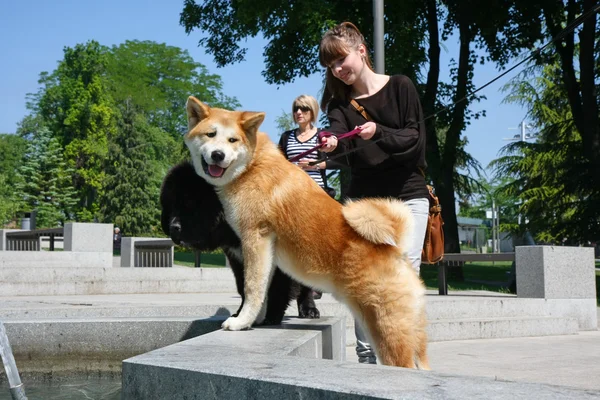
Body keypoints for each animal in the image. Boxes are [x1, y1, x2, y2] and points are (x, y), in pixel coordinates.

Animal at [159, 162, 318, 324]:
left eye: (189, 203)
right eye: (171, 207)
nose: (173, 227)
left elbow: (278, 288)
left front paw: (271, 316)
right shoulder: (236, 257)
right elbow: (245, 286)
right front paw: (241, 314)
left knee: (306, 287)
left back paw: (309, 310)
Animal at [185, 97, 428, 368]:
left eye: (232, 140)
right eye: (210, 134)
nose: (218, 155)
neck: (252, 167)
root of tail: (395, 250)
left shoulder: (255, 238)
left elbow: (252, 288)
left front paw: (240, 322)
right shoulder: (266, 250)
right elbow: (263, 288)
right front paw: (256, 320)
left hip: (386, 330)